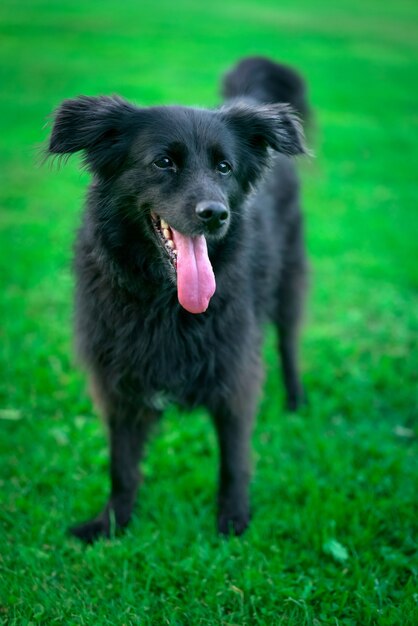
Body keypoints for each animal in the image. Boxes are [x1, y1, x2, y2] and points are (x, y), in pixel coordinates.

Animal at [49, 56, 310, 540]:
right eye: (163, 162)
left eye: (224, 167)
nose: (215, 215)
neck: (164, 301)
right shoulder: (118, 380)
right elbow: (122, 464)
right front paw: (111, 523)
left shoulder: (235, 372)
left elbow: (234, 458)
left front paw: (233, 520)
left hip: (288, 282)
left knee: (287, 342)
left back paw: (296, 400)